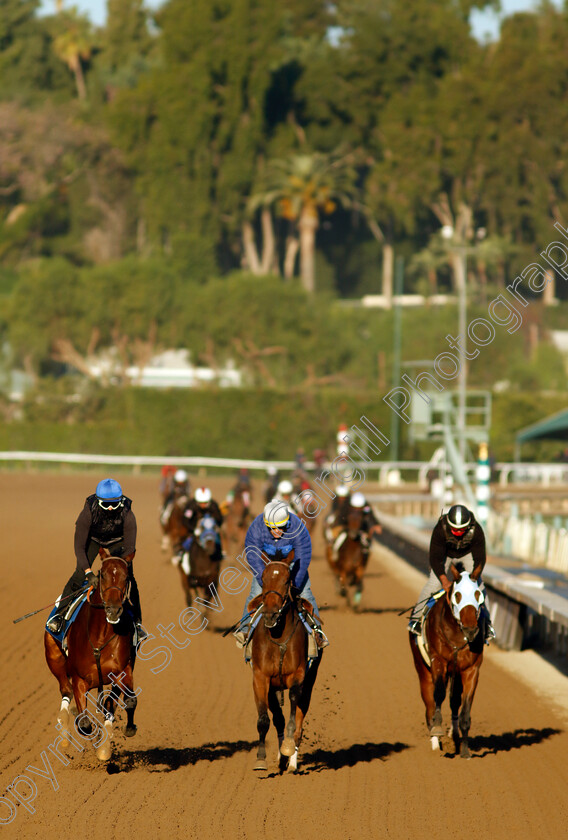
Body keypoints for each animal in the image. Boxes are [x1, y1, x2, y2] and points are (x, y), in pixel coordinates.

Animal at [43, 548, 138, 764]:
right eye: (103, 575)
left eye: (126, 576)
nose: (113, 609)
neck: (100, 635)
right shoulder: (80, 679)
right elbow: (85, 724)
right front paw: (94, 740)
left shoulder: (122, 671)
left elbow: (128, 701)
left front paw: (111, 741)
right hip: (54, 659)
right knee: (66, 690)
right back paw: (65, 734)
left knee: (109, 702)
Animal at [251, 552, 322, 776]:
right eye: (263, 579)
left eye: (286, 580)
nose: (271, 614)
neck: (279, 637)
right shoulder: (261, 678)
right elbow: (264, 719)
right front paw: (261, 759)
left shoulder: (298, 675)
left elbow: (293, 712)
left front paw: (288, 749)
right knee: (278, 718)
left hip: (309, 683)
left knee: (299, 719)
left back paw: (291, 762)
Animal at [408, 568, 484, 756]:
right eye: (457, 595)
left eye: (478, 594)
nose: (471, 629)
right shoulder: (438, 662)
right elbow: (438, 695)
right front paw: (437, 731)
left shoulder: (471, 669)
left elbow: (464, 706)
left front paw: (465, 750)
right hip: (423, 670)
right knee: (429, 703)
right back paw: (435, 742)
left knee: (454, 700)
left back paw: (454, 734)